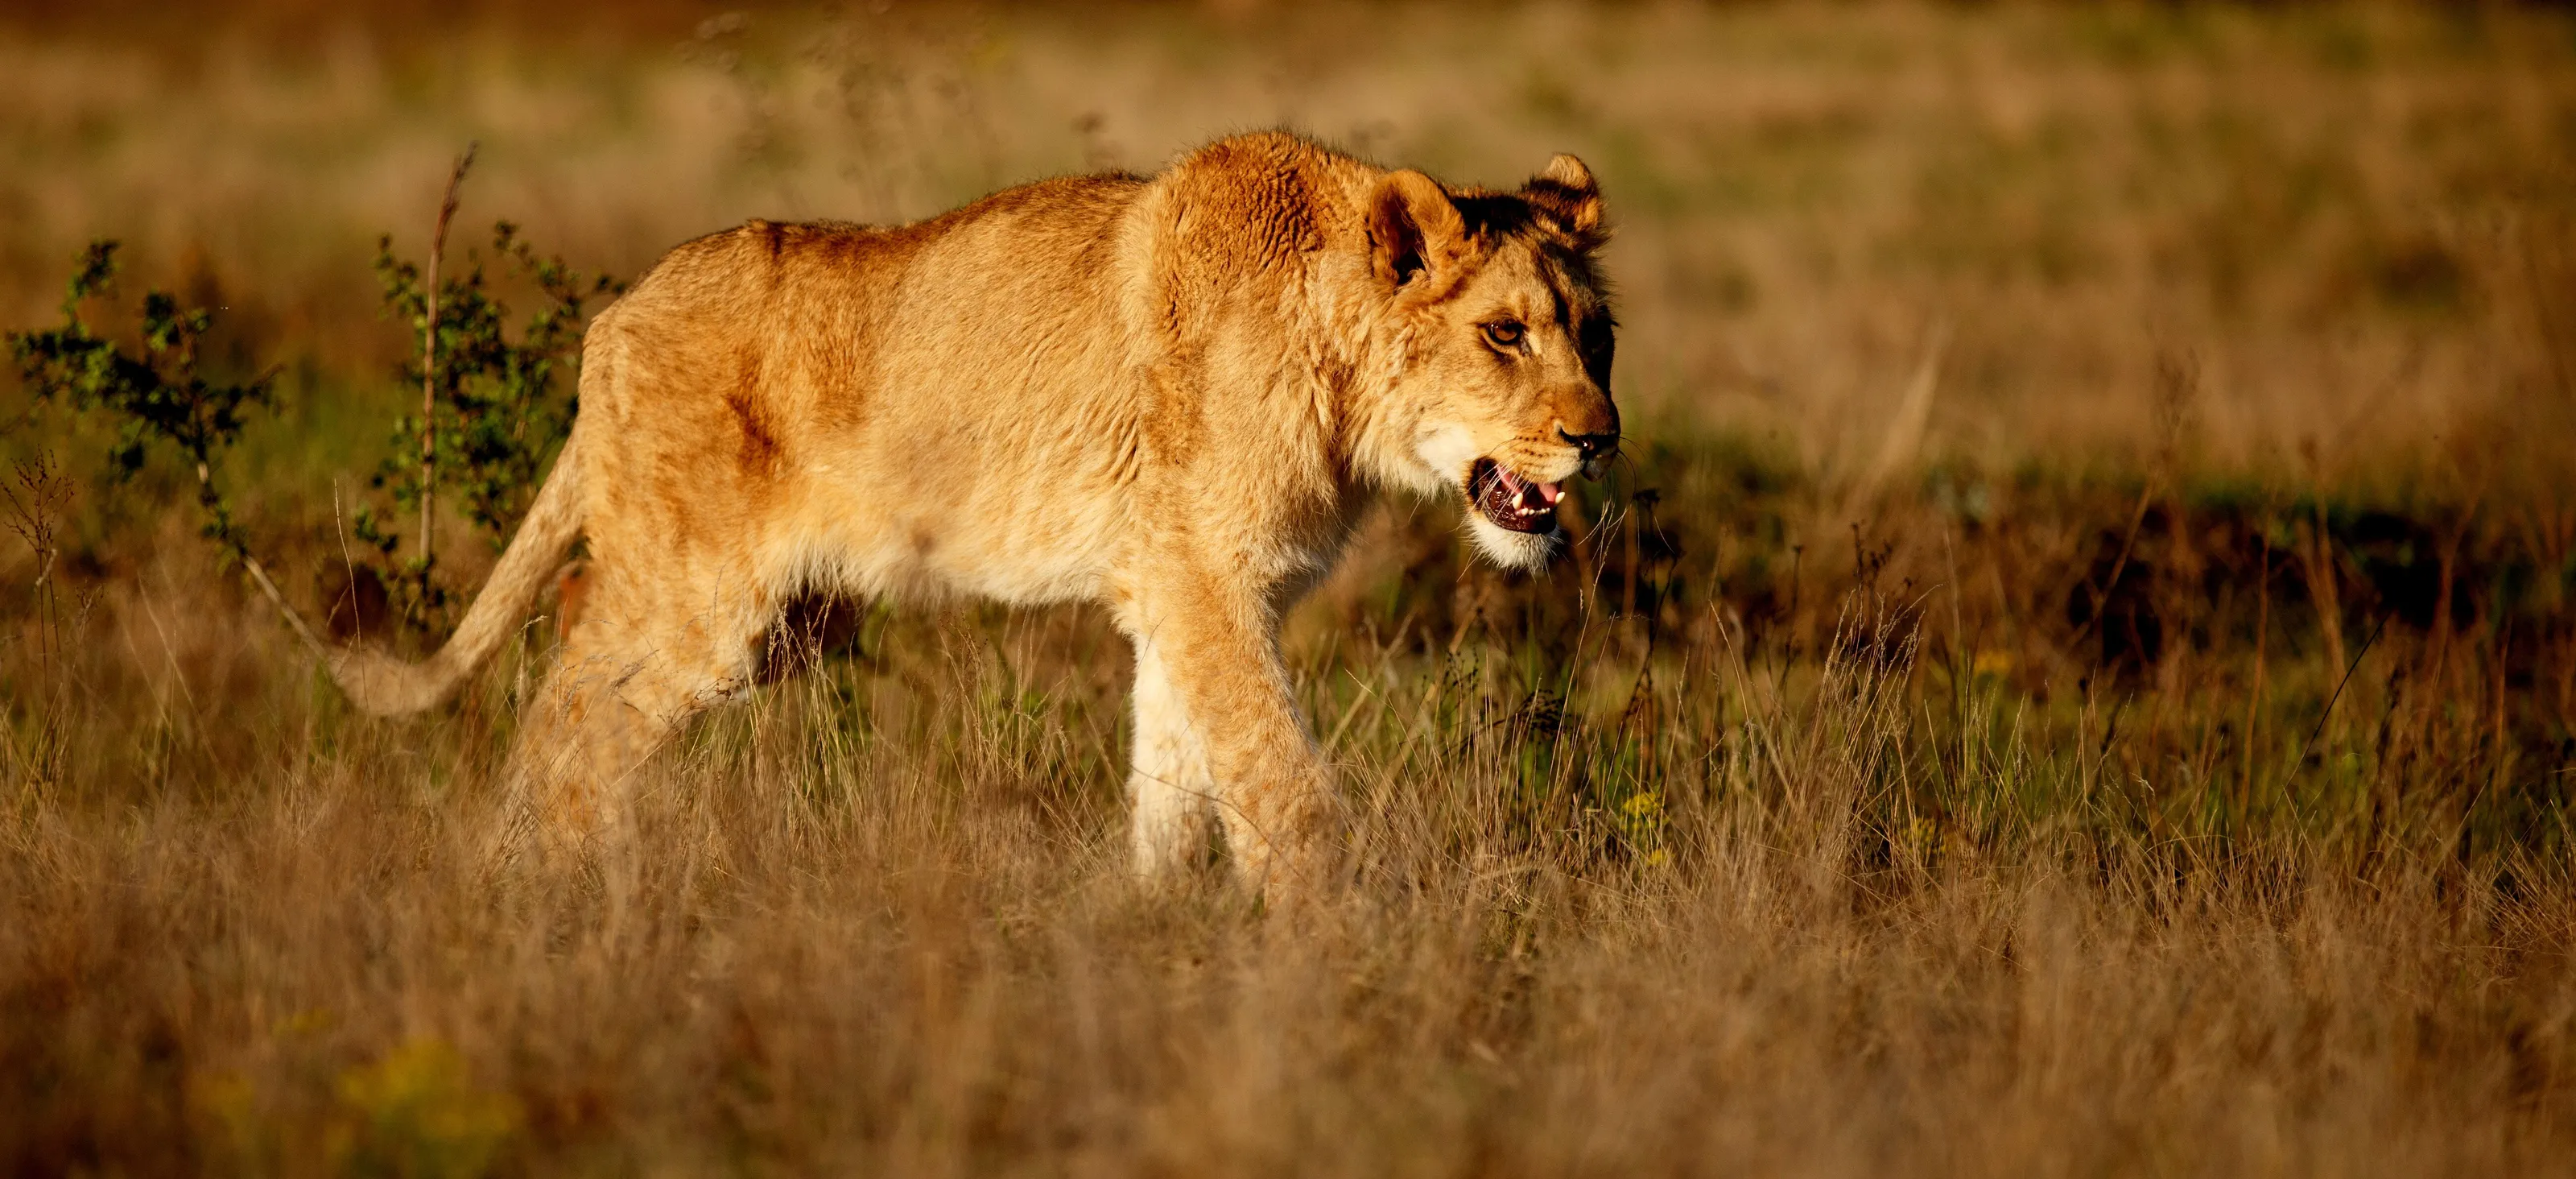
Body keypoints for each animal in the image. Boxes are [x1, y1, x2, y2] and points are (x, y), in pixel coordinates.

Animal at [308, 131, 1619, 895]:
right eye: (1504, 334)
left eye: (1595, 336)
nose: (1597, 438)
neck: (1341, 379)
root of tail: (614, 316)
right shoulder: (1205, 576)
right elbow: (1280, 783)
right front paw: (1329, 950)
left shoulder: (1179, 587)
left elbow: (1175, 779)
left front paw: (1149, 934)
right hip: (703, 602)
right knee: (569, 717)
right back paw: (559, 902)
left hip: (788, 621)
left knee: (577, 686)